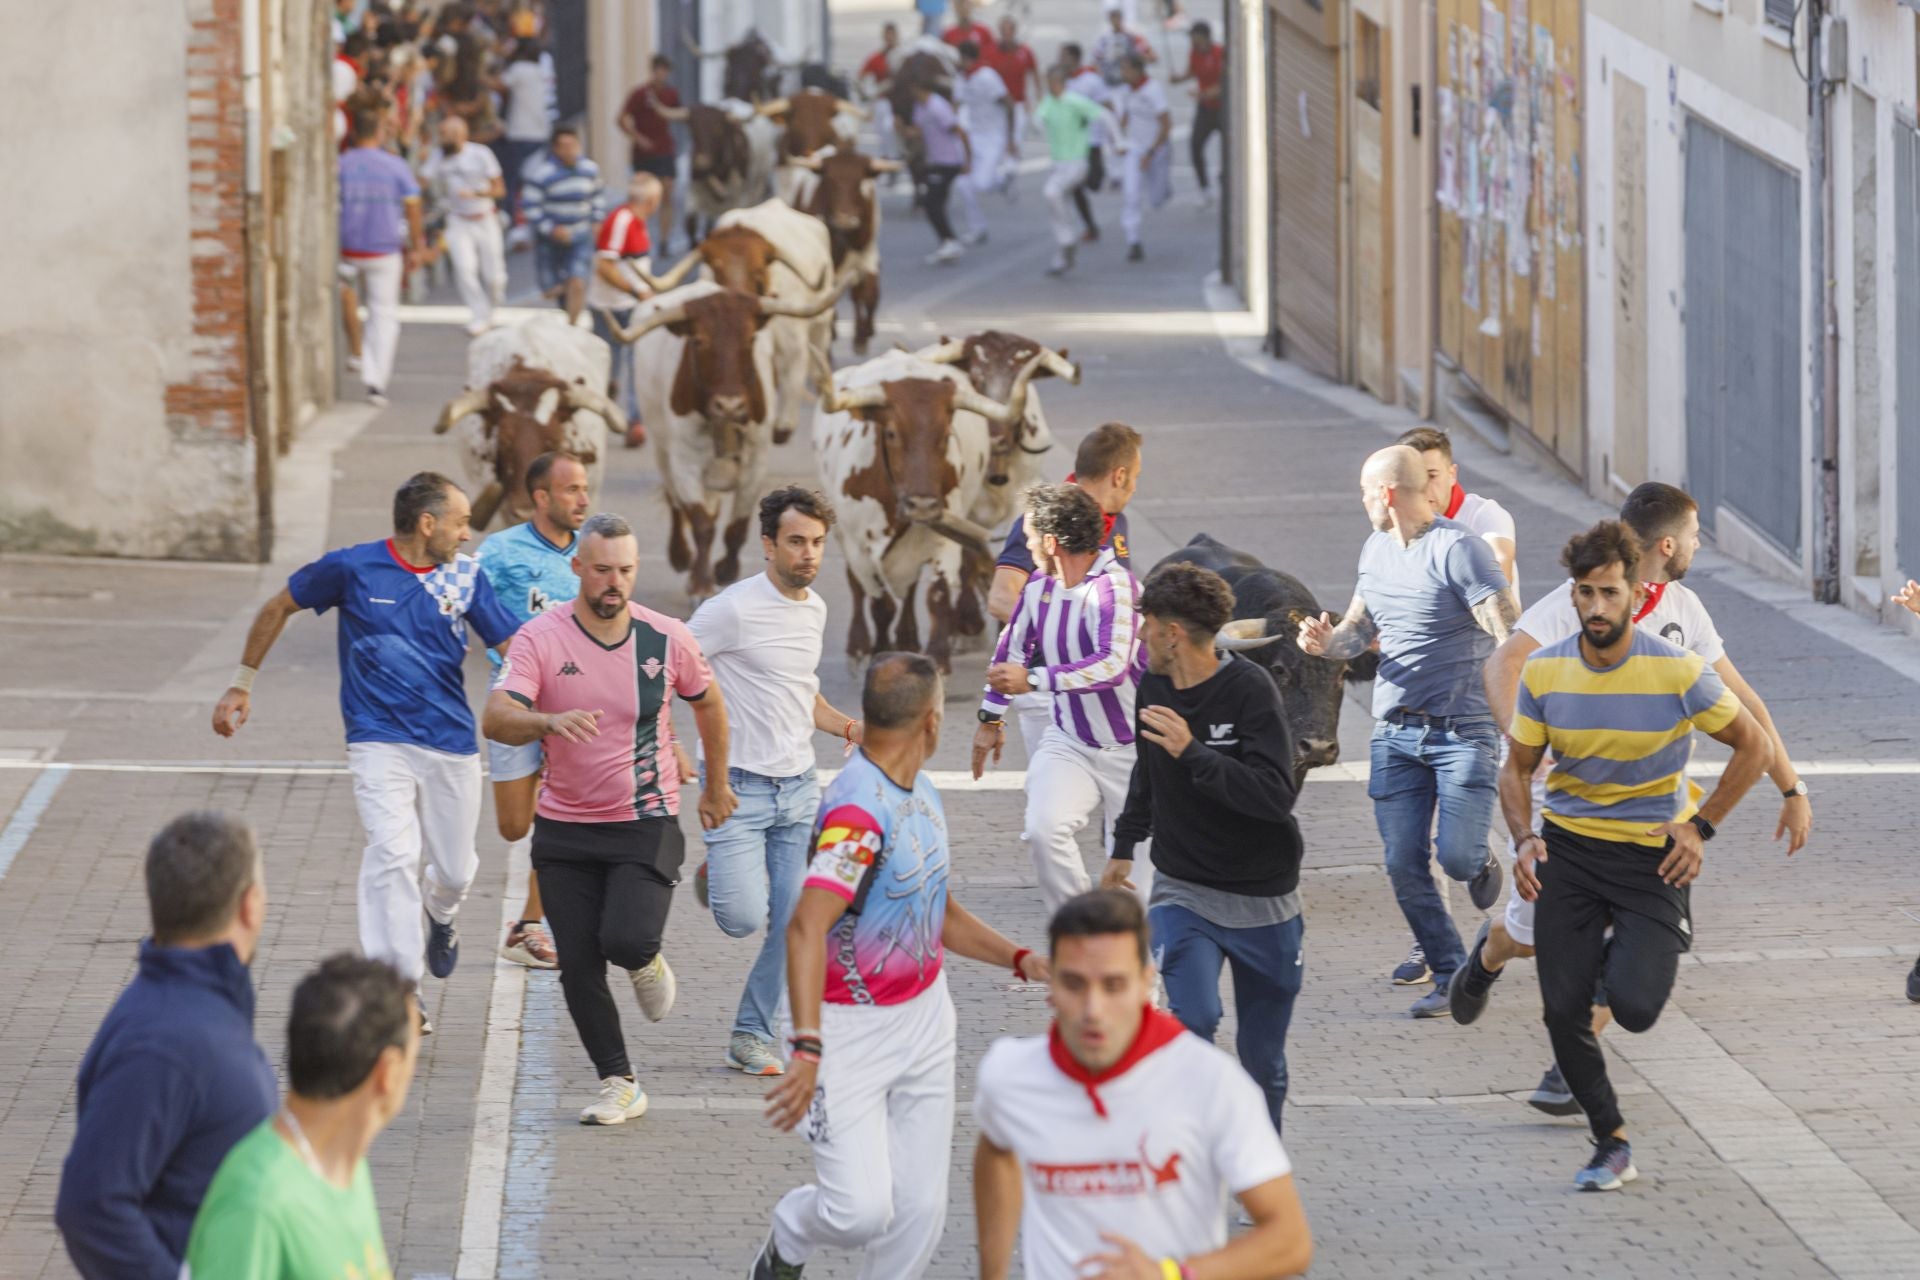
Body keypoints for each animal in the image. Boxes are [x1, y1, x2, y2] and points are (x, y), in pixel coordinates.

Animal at [606, 282, 833, 602]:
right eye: (698, 341)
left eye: (750, 339)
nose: (729, 406)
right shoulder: (685, 463)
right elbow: (701, 524)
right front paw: (701, 583)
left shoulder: (755, 462)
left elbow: (736, 526)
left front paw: (725, 570)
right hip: (663, 449)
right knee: (675, 502)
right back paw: (681, 557)